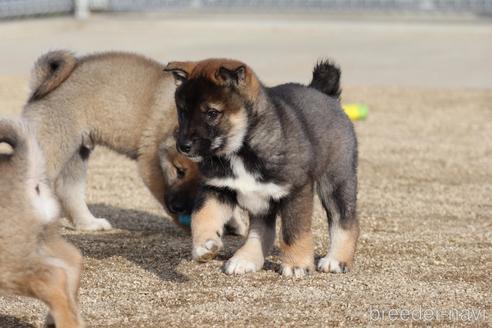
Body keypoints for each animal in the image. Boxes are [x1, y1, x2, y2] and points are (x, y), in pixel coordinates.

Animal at [165, 57, 358, 276]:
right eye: (182, 112)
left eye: (212, 113)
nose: (183, 146)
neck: (241, 150)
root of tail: (326, 95)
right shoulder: (217, 188)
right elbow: (202, 215)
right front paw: (203, 245)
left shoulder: (296, 190)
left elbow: (293, 231)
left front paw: (297, 264)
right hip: (262, 200)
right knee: (262, 230)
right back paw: (246, 259)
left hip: (336, 181)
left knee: (345, 220)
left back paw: (336, 259)